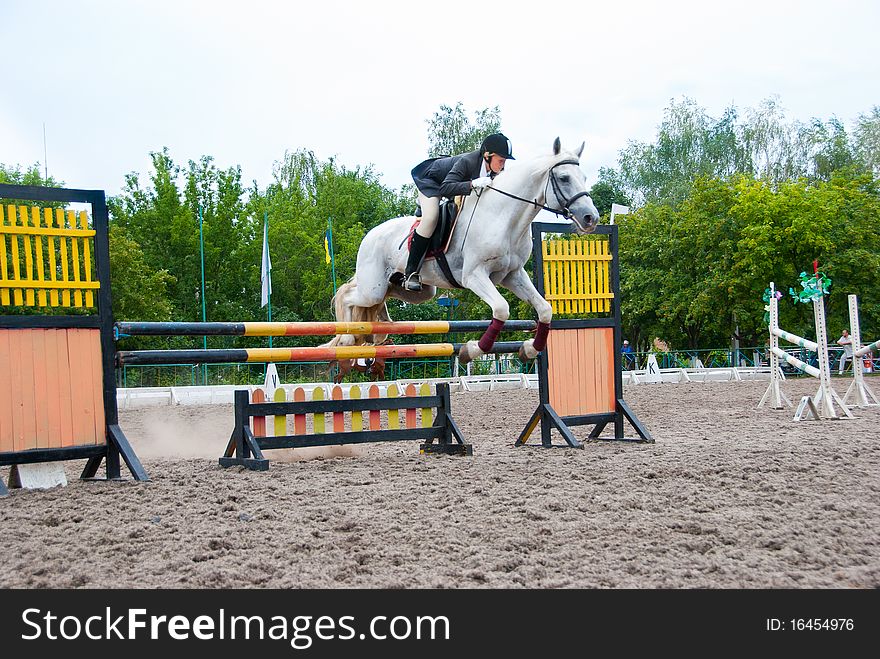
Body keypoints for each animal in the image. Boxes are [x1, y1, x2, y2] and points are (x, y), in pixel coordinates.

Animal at [326, 139, 600, 364]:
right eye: (563, 178)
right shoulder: (474, 276)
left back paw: (380, 328)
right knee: (349, 295)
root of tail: (371, 234)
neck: (504, 218)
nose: (591, 218)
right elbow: (501, 309)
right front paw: (473, 349)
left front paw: (530, 349)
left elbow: (544, 309)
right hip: (372, 286)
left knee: (384, 296)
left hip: (415, 289)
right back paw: (348, 338)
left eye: (584, 177)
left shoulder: (513, 275)